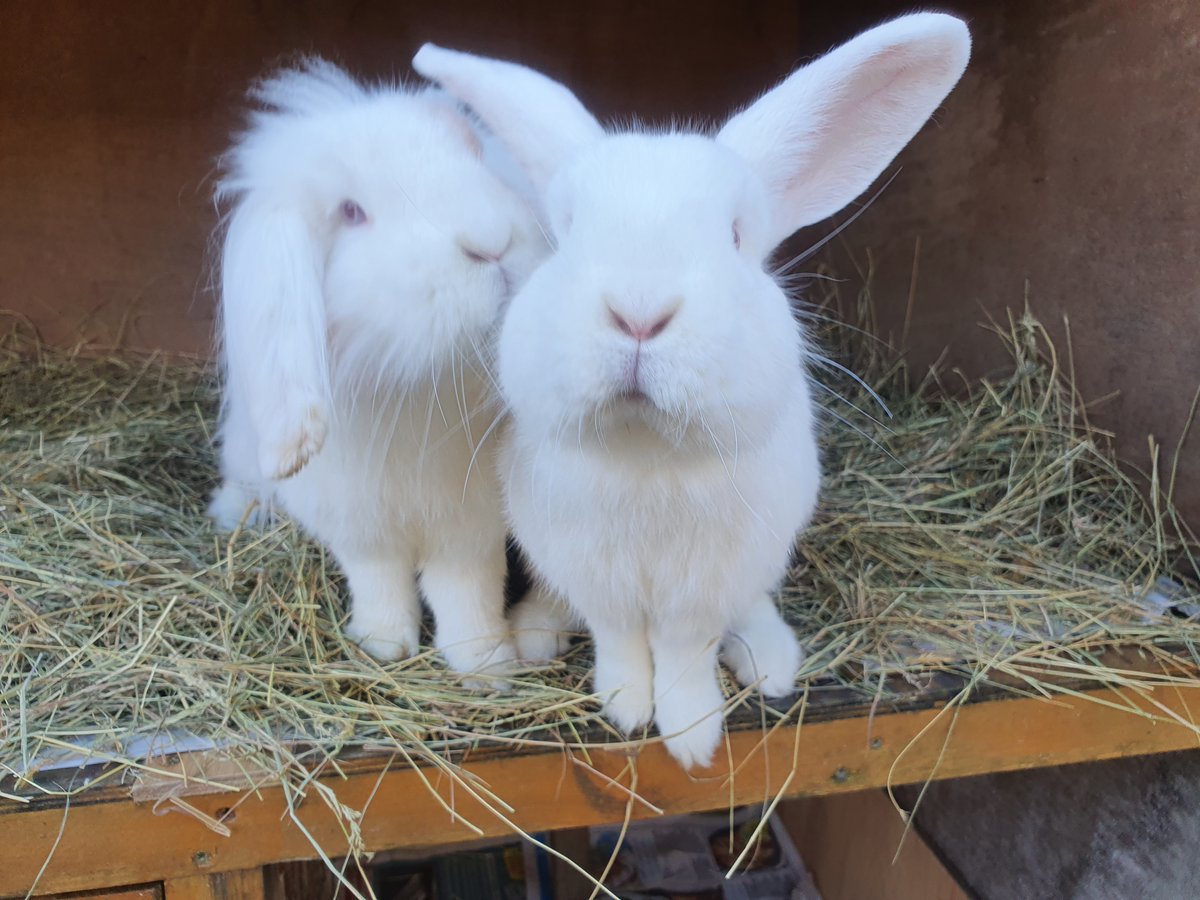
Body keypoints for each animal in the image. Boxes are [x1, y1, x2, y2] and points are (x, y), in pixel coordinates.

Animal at [207, 58, 547, 683]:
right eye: (350, 212)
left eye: (477, 160)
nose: (491, 242)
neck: (414, 390)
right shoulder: (356, 523)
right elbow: (379, 579)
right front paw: (382, 644)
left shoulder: (471, 523)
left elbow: (467, 588)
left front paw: (485, 663)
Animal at [412, 13, 970, 765]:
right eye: (566, 232)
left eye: (735, 235)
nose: (638, 312)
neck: (648, 453)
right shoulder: (599, 578)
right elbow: (621, 640)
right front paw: (625, 708)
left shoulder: (704, 589)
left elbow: (684, 652)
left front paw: (690, 732)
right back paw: (537, 629)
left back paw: (770, 661)